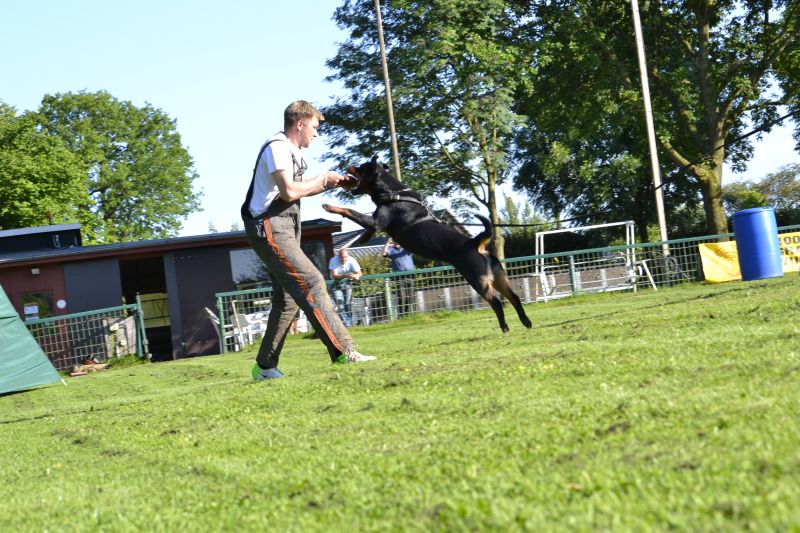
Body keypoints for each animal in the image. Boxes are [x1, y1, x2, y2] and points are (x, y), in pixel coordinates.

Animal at [322, 156, 532, 332]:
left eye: (359, 167)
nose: (349, 165)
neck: (392, 192)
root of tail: (475, 243)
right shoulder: (376, 223)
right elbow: (366, 228)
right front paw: (363, 239)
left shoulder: (376, 220)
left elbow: (350, 211)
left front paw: (329, 206)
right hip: (498, 277)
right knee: (514, 297)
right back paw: (526, 322)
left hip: (477, 279)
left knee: (496, 302)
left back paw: (505, 327)